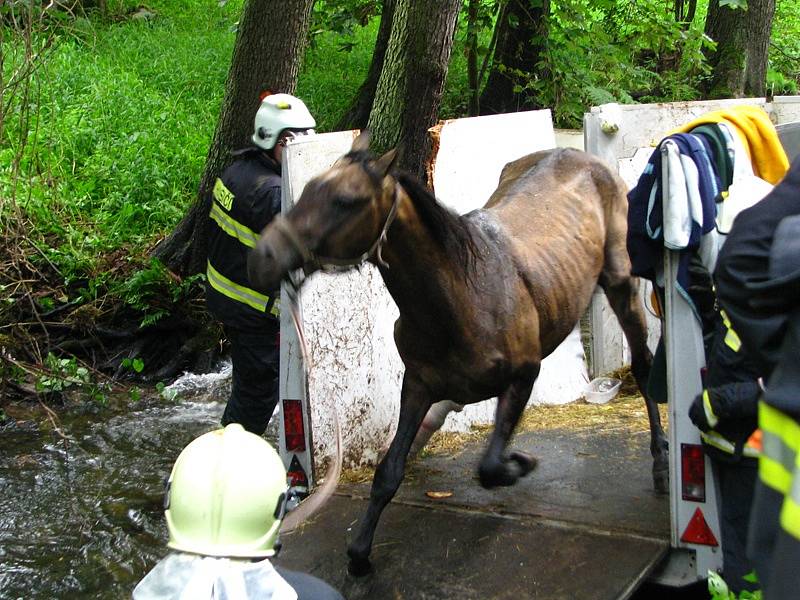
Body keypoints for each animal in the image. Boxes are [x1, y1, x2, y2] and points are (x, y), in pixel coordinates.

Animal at [247, 132, 664, 576]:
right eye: (307, 190)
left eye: (346, 200)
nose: (261, 259)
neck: (461, 297)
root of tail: (582, 158)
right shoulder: (418, 385)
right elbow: (389, 471)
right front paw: (360, 553)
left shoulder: (524, 375)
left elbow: (490, 467)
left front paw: (521, 462)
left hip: (621, 283)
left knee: (643, 364)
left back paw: (660, 462)